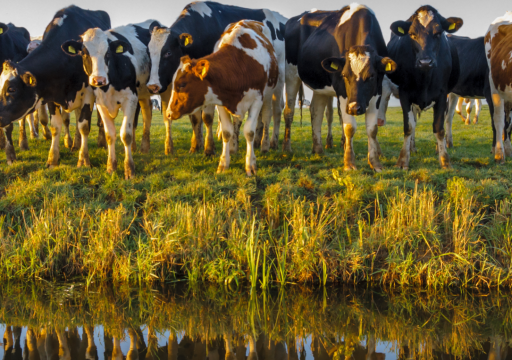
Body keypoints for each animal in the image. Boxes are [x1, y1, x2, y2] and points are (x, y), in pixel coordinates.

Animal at [0, 5, 111, 169]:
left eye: (11, 89)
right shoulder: (51, 92)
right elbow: (55, 126)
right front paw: (52, 159)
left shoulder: (88, 93)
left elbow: (84, 126)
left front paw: (84, 160)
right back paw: (75, 144)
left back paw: (99, 142)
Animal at [62, 19, 162, 179]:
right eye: (84, 53)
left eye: (108, 53)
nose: (99, 80)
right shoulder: (101, 103)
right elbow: (110, 135)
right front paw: (111, 167)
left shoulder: (130, 99)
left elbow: (125, 134)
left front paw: (129, 169)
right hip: (142, 94)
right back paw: (137, 147)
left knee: (148, 116)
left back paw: (146, 147)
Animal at [168, 20, 278, 176]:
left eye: (182, 84)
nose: (168, 113)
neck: (239, 66)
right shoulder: (221, 101)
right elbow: (227, 131)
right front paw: (223, 163)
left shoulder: (257, 99)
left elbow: (249, 131)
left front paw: (250, 164)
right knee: (237, 123)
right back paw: (233, 147)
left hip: (269, 94)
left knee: (266, 118)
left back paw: (264, 146)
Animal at [384, 5, 464, 169]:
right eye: (412, 34)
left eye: (438, 33)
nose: (425, 62)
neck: (425, 79)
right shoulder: (405, 94)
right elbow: (408, 127)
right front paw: (403, 159)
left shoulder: (442, 95)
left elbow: (439, 128)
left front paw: (445, 160)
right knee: (414, 123)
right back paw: (412, 148)